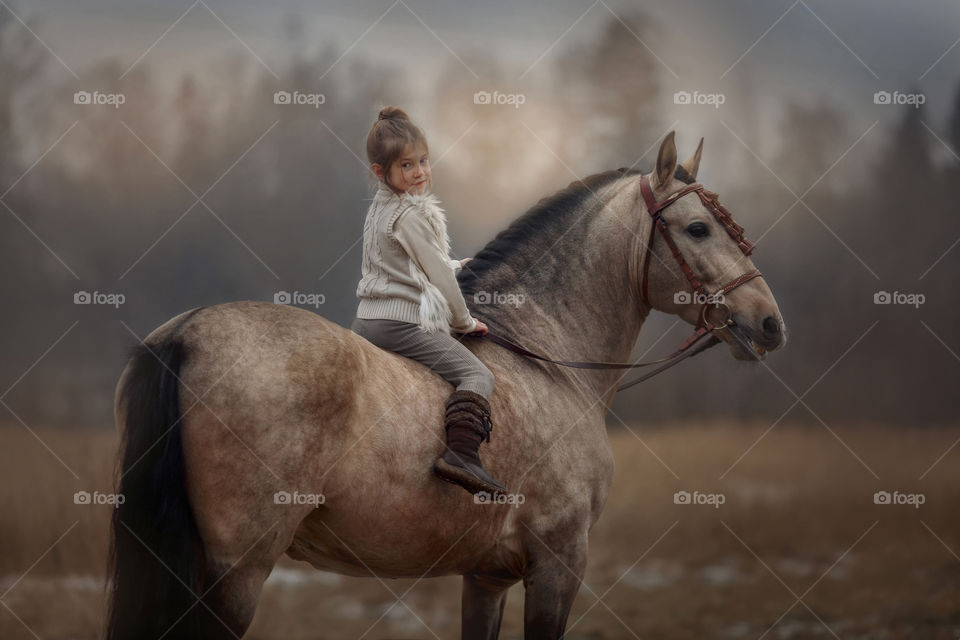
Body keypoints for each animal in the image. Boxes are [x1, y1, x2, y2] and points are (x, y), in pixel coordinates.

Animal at [109, 131, 788, 640]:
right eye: (698, 229)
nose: (769, 323)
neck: (543, 353)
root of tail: (187, 333)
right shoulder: (558, 564)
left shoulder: (486, 577)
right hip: (237, 572)